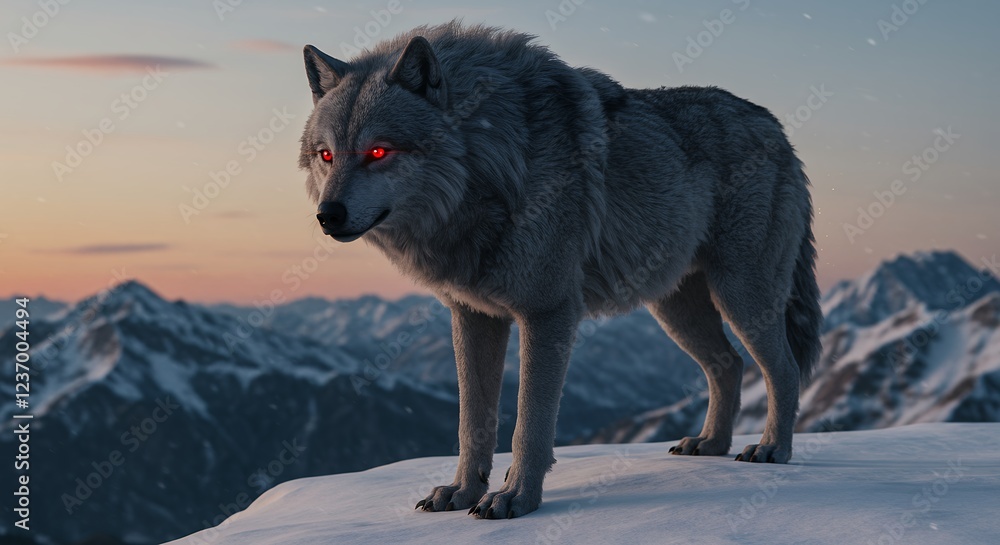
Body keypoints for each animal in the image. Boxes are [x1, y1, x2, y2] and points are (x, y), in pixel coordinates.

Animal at [299, 22, 821, 519]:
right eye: (327, 155)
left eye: (378, 152)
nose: (328, 215)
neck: (494, 163)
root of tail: (775, 127)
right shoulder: (473, 317)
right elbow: (472, 423)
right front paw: (462, 492)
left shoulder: (547, 314)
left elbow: (529, 424)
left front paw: (516, 499)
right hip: (675, 310)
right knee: (728, 365)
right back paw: (710, 444)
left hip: (740, 296)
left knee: (783, 369)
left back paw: (772, 449)